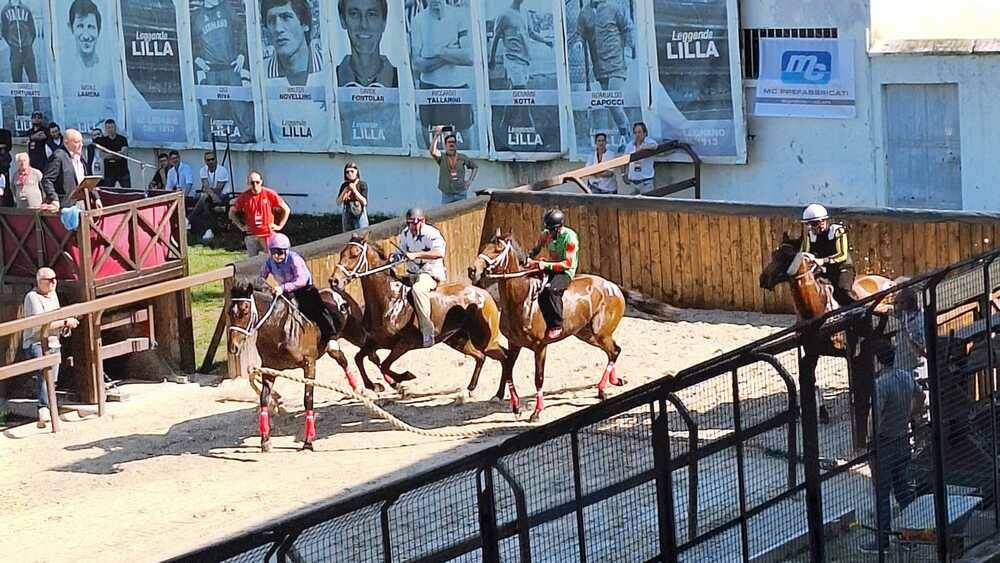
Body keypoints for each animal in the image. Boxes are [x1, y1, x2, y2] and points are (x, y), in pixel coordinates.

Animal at [229, 282, 362, 454]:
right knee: (344, 360)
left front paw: (308, 441)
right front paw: (265, 440)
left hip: (355, 332)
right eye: (229, 312)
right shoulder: (269, 368)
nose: (233, 347)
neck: (279, 327)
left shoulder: (309, 365)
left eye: (245, 311)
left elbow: (308, 399)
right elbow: (264, 398)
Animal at [332, 234, 512, 406]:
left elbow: (384, 365)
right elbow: (359, 358)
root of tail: (483, 294)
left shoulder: (404, 344)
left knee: (503, 356)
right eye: (341, 253)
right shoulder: (375, 342)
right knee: (481, 357)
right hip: (457, 340)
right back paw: (469, 390)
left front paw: (404, 378)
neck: (389, 299)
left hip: (483, 339)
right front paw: (376, 385)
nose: (334, 280)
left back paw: (498, 395)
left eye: (355, 254)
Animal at [468, 231, 624, 420]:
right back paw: (612, 383)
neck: (521, 300)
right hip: (587, 334)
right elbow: (508, 371)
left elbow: (538, 378)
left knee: (614, 352)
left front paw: (536, 411)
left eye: (497, 250)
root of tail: (613, 287)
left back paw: (602, 388)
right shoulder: (514, 344)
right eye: (484, 247)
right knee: (613, 351)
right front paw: (516, 407)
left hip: (600, 333)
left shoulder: (540, 347)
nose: (472, 270)